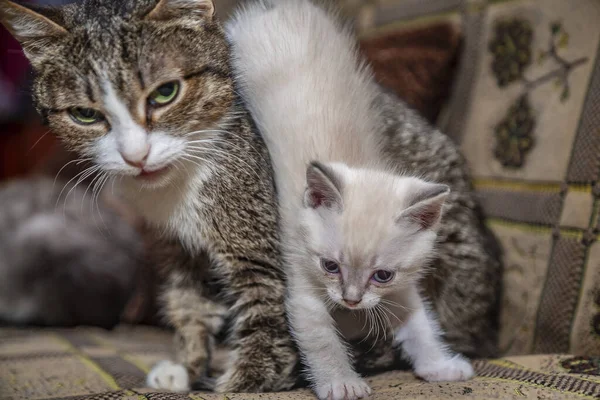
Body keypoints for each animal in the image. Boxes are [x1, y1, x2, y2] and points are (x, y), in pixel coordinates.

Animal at [0, 0, 298, 394]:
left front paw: (244, 381)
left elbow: (268, 308)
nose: (135, 156)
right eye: (84, 114)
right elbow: (189, 302)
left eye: (166, 92)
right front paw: (187, 368)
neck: (181, 189)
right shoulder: (180, 249)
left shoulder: (261, 246)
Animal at [226, 0, 474, 400]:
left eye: (382, 274)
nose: (351, 300)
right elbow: (321, 340)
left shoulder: (400, 288)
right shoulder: (301, 279)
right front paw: (340, 382)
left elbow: (419, 325)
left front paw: (440, 366)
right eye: (330, 266)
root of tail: (278, 8)